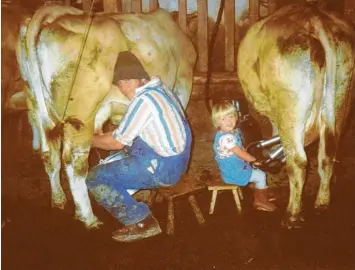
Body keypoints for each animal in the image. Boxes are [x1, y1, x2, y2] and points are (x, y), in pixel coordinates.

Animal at [17, 4, 197, 228]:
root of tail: (51, 18)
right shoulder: (182, 84)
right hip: (81, 115)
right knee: (74, 163)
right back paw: (88, 217)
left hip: (36, 106)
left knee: (49, 153)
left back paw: (58, 199)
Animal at [238, 3, 355, 228]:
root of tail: (314, 18)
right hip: (340, 98)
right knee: (327, 153)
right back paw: (322, 203)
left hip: (290, 107)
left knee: (298, 160)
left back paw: (292, 215)